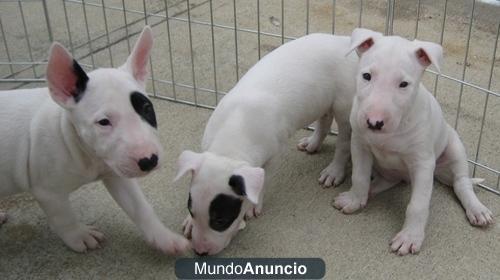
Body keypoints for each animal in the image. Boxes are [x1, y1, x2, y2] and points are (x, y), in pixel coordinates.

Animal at [0, 27, 189, 255]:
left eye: (146, 108)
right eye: (103, 122)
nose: (149, 160)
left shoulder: (116, 172)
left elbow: (140, 207)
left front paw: (165, 238)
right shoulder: (47, 192)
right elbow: (64, 217)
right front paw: (80, 236)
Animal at [176, 32, 360, 256]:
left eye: (221, 220)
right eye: (191, 210)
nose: (200, 252)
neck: (230, 144)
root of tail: (344, 40)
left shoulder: (273, 155)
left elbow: (263, 181)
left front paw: (252, 207)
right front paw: (188, 222)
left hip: (344, 106)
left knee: (343, 141)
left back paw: (333, 172)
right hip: (321, 99)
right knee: (324, 120)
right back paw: (312, 143)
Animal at [334, 28, 494, 256]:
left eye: (403, 84)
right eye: (366, 76)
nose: (374, 122)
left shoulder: (423, 164)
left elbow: (418, 205)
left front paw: (409, 238)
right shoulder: (360, 144)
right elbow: (359, 177)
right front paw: (355, 199)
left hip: (454, 147)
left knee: (461, 183)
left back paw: (477, 209)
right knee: (388, 179)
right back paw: (371, 191)